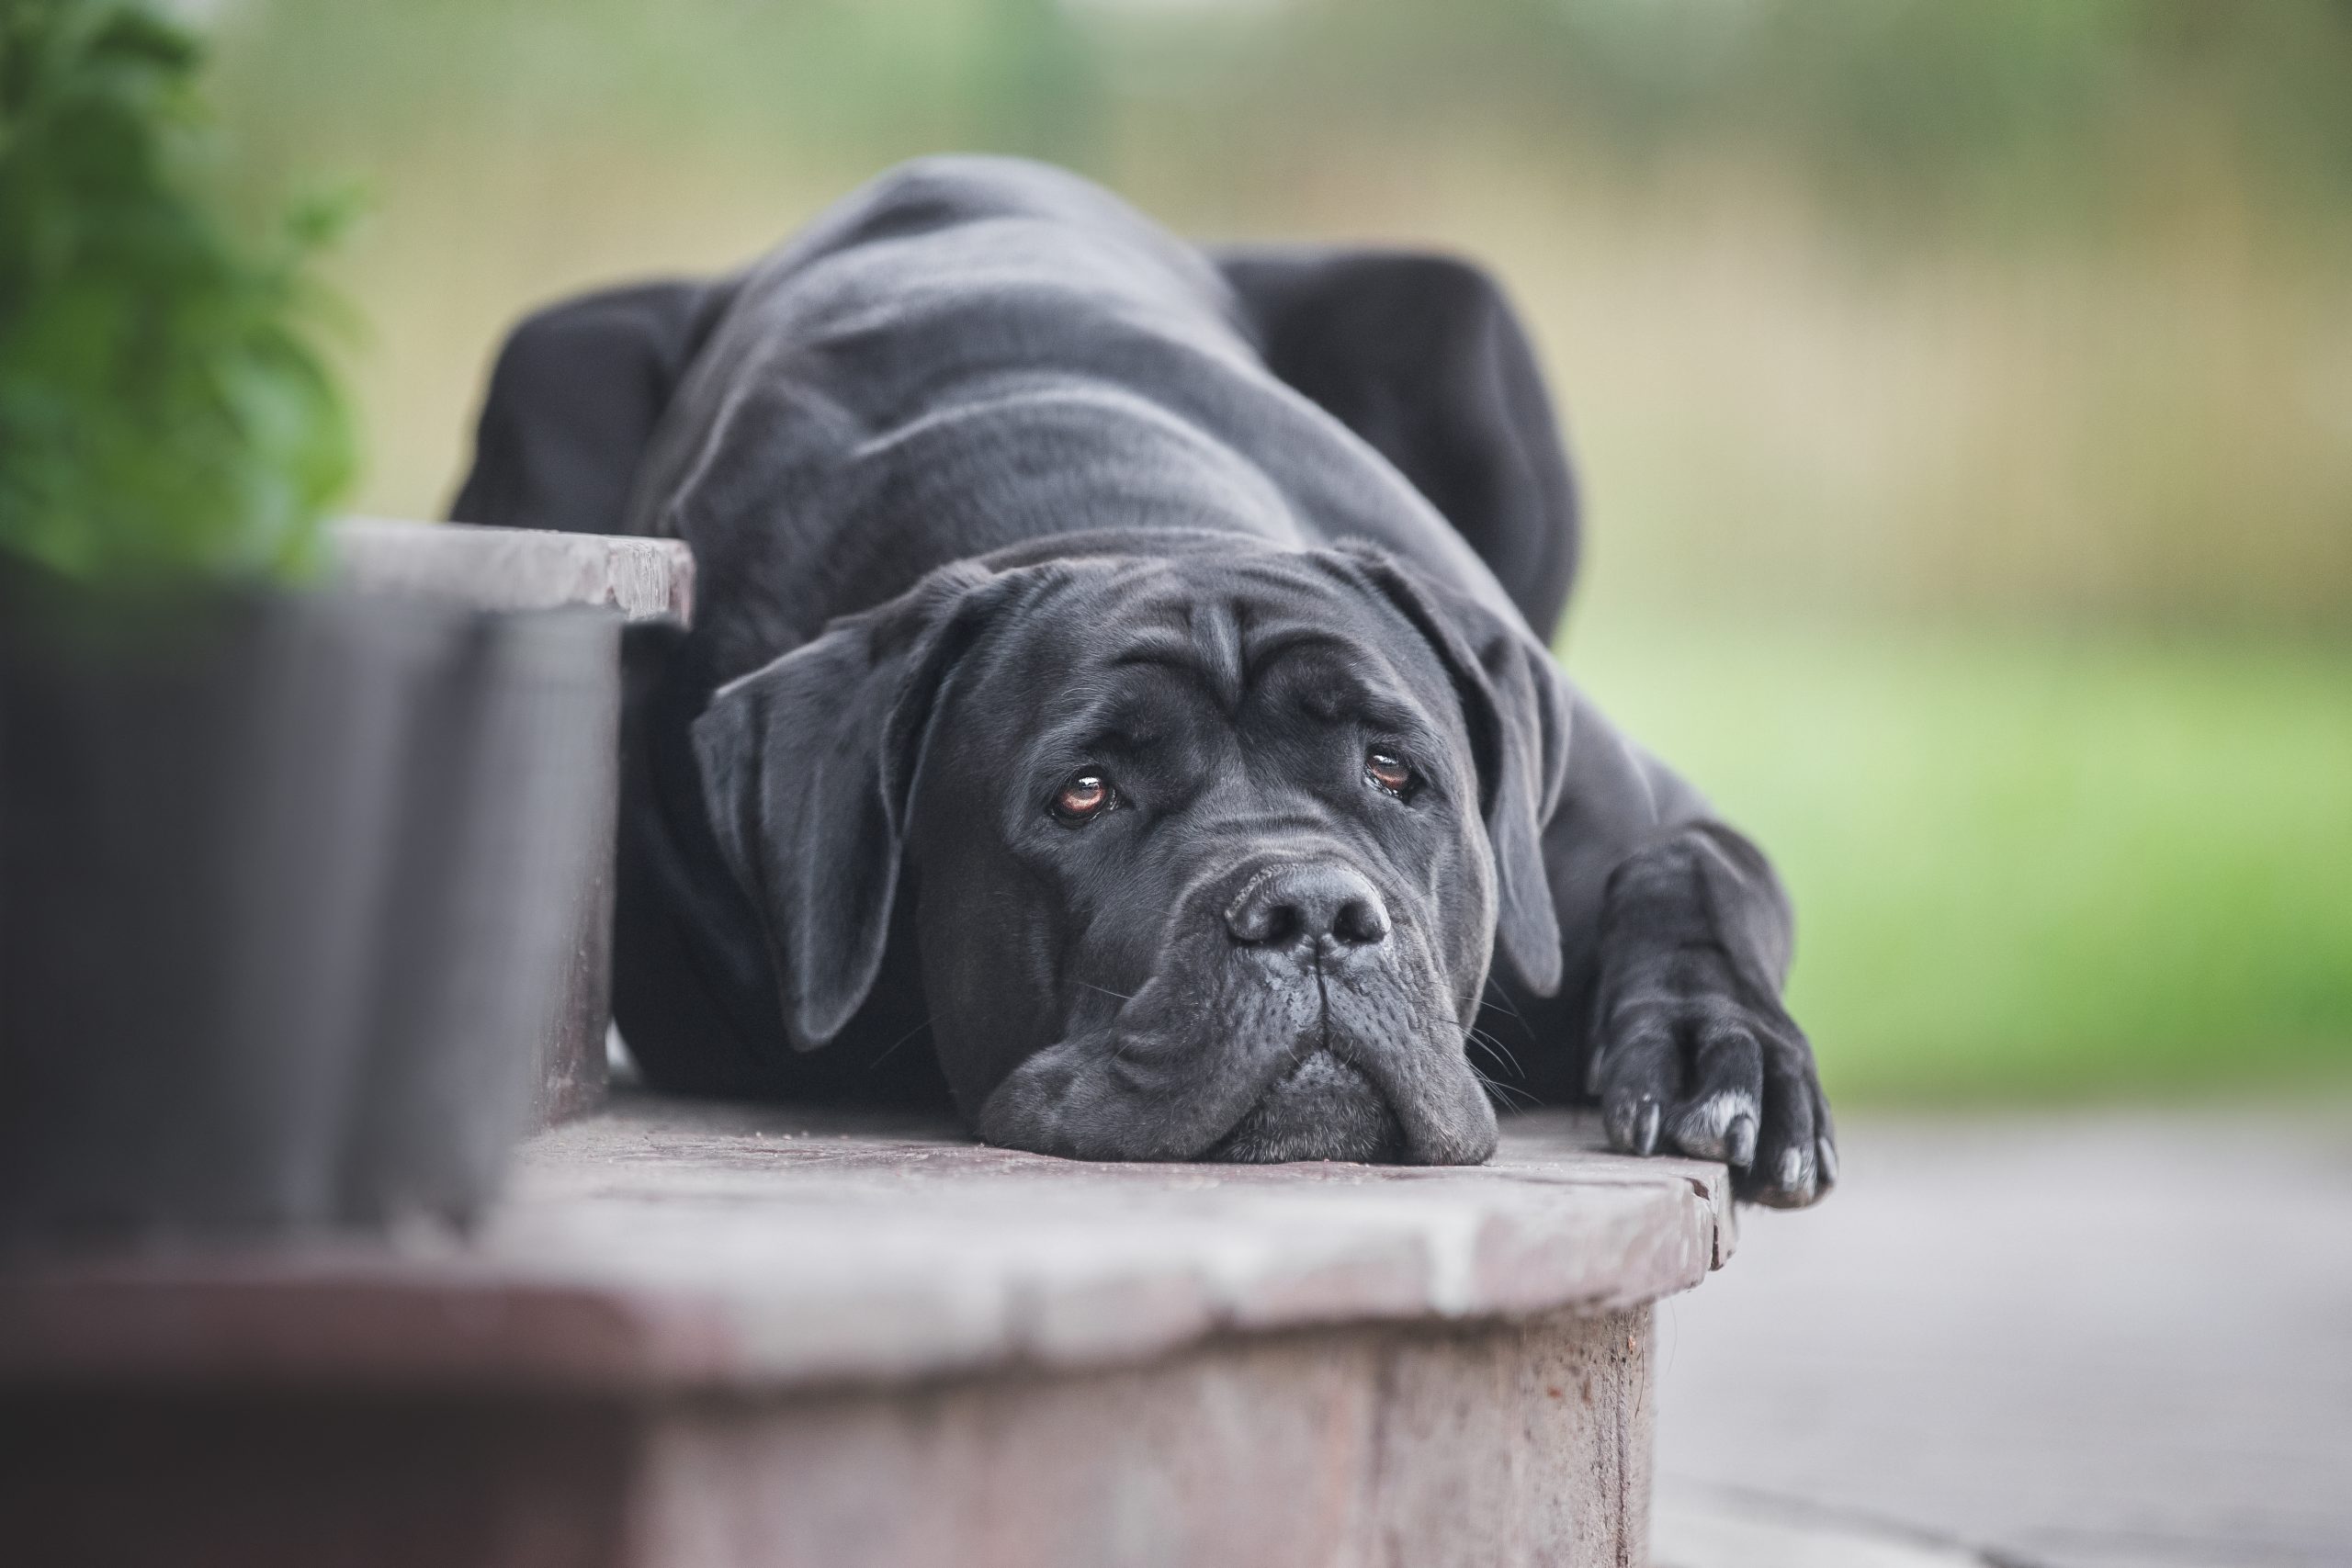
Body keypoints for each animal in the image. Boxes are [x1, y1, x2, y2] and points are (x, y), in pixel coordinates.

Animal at [448, 160, 1825, 1213]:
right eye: (1084, 794)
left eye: (1395, 772)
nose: (1312, 912)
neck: (1134, 513)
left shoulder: (1625, 820)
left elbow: (1694, 872)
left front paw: (1720, 1049)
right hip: (552, 359)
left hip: (1465, 321)